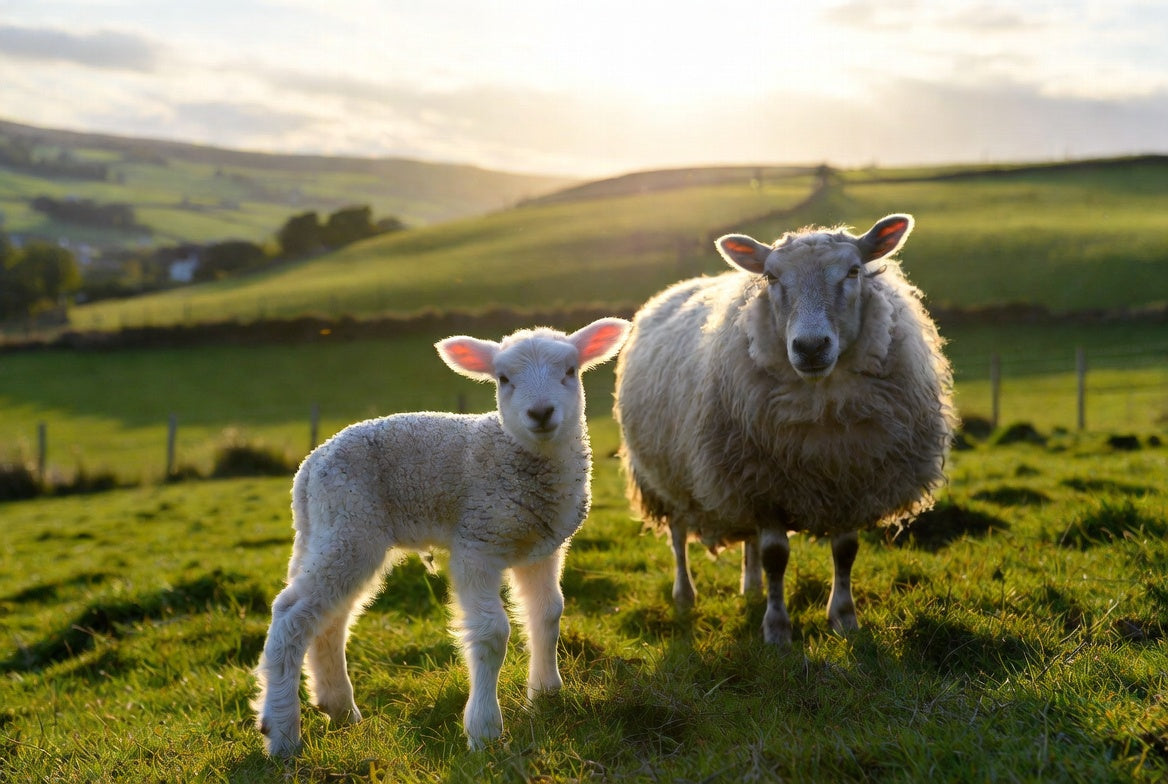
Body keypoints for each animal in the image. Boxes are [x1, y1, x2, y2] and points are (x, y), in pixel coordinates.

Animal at [252, 317, 631, 756]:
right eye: (503, 379)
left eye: (570, 371)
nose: (540, 412)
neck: (518, 456)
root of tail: (310, 465)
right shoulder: (477, 542)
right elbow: (492, 633)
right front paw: (484, 729)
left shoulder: (543, 547)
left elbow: (548, 613)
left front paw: (546, 695)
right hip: (349, 524)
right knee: (292, 614)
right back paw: (282, 732)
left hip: (329, 531)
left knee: (329, 619)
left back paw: (339, 708)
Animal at [613, 214, 955, 644]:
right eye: (772, 277)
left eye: (854, 270)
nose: (810, 347)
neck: (822, 404)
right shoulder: (766, 487)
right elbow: (776, 556)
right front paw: (777, 630)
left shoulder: (847, 480)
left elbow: (845, 551)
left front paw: (844, 619)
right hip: (668, 476)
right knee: (677, 536)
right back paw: (685, 597)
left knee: (747, 539)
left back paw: (751, 587)